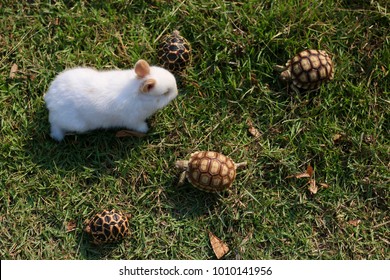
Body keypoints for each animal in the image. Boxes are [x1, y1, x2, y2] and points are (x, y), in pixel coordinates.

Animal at [43, 60, 177, 141]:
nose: (176, 93)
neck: (139, 95)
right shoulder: (133, 121)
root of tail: (50, 100)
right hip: (75, 124)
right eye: (166, 92)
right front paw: (145, 129)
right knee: (56, 126)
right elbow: (138, 126)